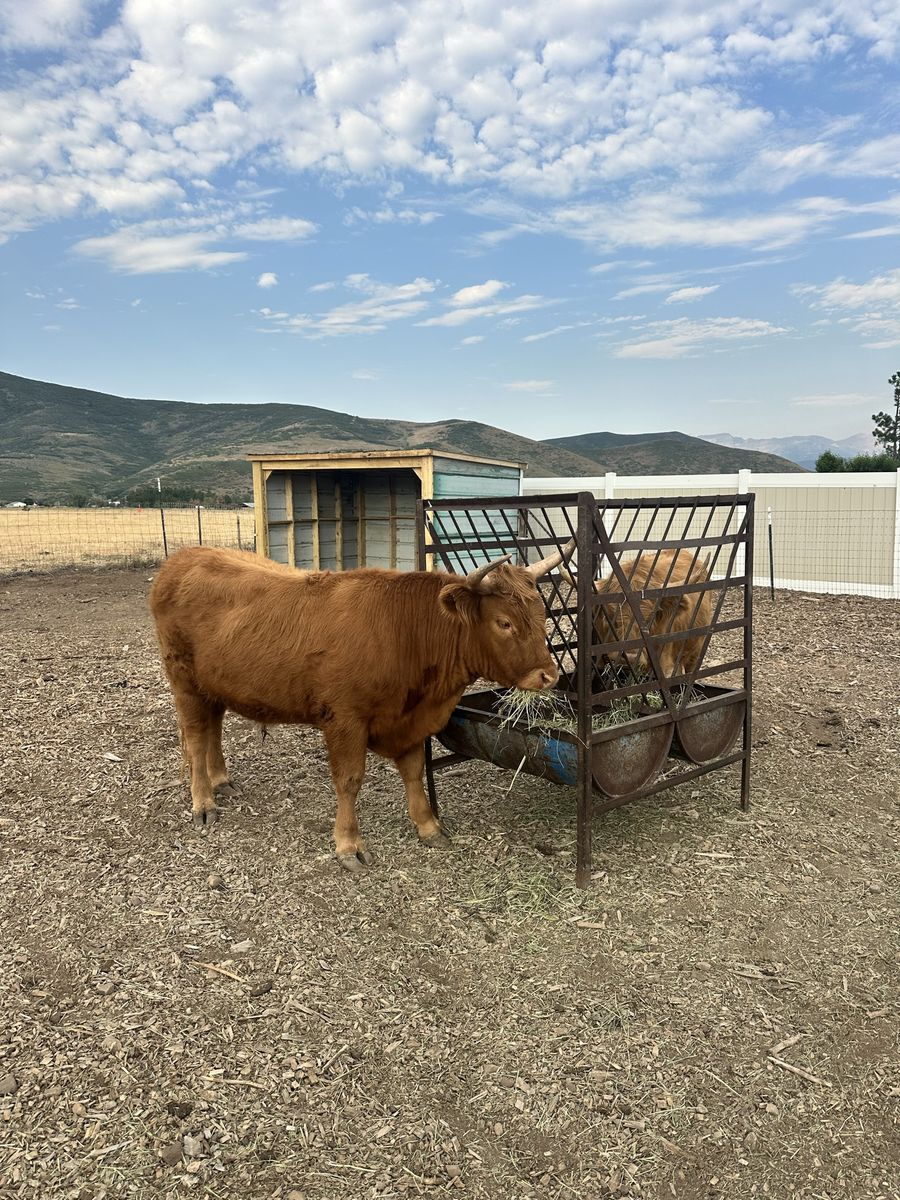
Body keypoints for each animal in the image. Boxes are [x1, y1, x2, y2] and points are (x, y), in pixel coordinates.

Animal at [149, 541, 573, 871]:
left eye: (541, 614)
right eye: (503, 623)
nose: (548, 676)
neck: (403, 631)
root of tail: (184, 557)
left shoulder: (408, 720)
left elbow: (414, 772)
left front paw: (428, 826)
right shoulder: (345, 720)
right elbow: (350, 781)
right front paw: (348, 844)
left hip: (214, 685)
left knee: (213, 729)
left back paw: (221, 780)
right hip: (184, 680)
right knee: (196, 737)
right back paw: (203, 802)